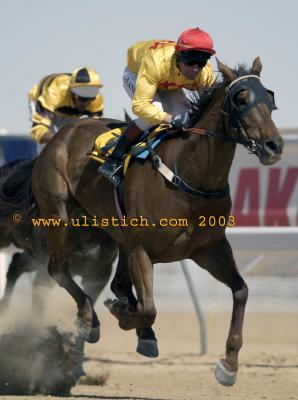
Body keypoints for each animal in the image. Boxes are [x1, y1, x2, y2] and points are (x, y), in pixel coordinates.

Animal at [30, 58, 284, 384]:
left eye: (269, 97)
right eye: (241, 99)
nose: (274, 145)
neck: (189, 175)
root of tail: (61, 134)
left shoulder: (209, 249)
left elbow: (241, 290)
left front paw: (228, 365)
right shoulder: (142, 250)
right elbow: (149, 308)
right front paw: (125, 318)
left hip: (111, 231)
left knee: (114, 282)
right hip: (59, 215)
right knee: (57, 269)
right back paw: (91, 320)